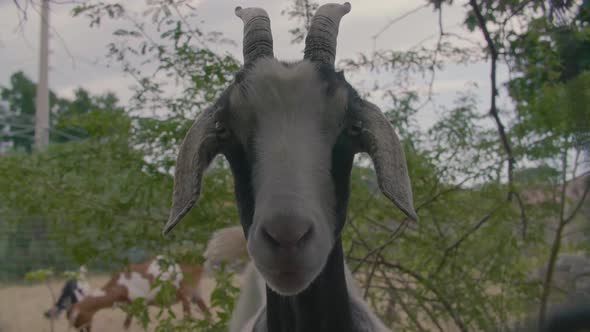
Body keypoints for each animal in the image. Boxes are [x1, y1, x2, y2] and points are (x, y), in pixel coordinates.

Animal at [68, 256, 210, 332]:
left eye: (76, 318)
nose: (83, 330)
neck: (121, 285)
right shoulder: (133, 307)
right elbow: (126, 326)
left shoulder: (139, 304)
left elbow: (138, 325)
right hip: (196, 294)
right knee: (208, 314)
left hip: (184, 293)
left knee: (188, 317)